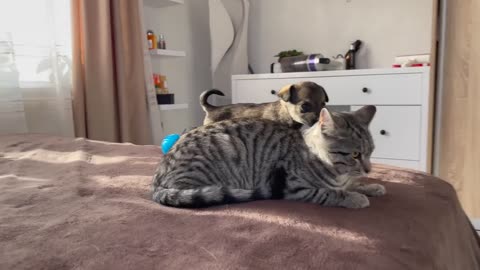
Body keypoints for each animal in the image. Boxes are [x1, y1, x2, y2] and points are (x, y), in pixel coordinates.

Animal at [154, 105, 386, 209]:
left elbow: (353, 184)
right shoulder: (296, 188)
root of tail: (156, 182)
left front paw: (371, 186)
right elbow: (330, 193)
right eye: (355, 154)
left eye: (371, 151)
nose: (369, 169)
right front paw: (355, 197)